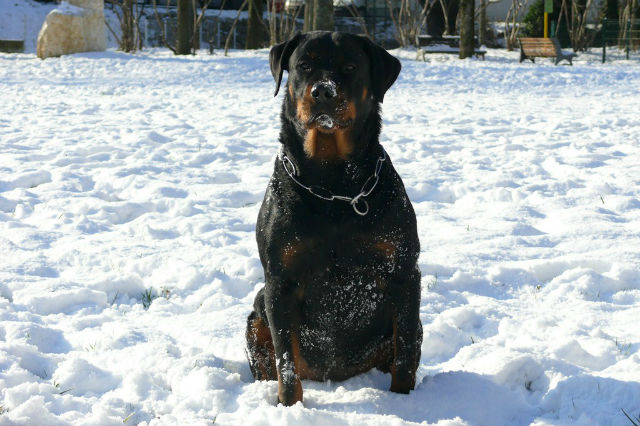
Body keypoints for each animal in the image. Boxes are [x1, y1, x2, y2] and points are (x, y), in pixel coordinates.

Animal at [248, 30, 422, 406]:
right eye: (303, 65)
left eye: (350, 67)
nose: (323, 91)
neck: (333, 187)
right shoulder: (278, 282)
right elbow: (286, 362)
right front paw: (290, 406)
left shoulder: (404, 272)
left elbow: (405, 353)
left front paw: (404, 401)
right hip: (256, 312)